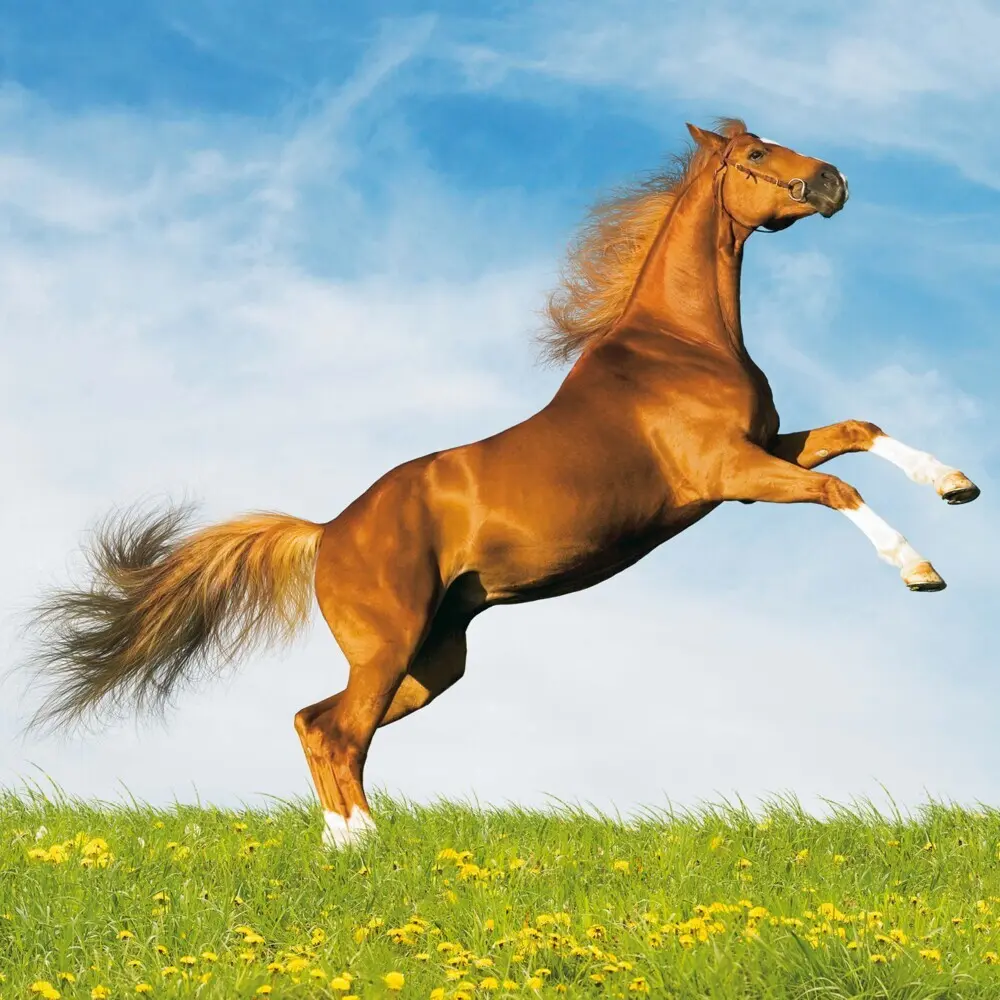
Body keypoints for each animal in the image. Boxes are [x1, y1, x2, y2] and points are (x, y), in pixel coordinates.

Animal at [22, 118, 980, 848]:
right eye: (753, 155)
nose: (833, 180)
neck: (680, 344)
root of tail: (326, 531)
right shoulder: (732, 474)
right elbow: (840, 492)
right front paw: (921, 570)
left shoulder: (769, 446)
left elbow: (858, 432)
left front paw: (957, 484)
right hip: (389, 645)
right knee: (335, 730)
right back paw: (364, 845)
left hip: (432, 660)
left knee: (316, 722)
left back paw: (346, 845)